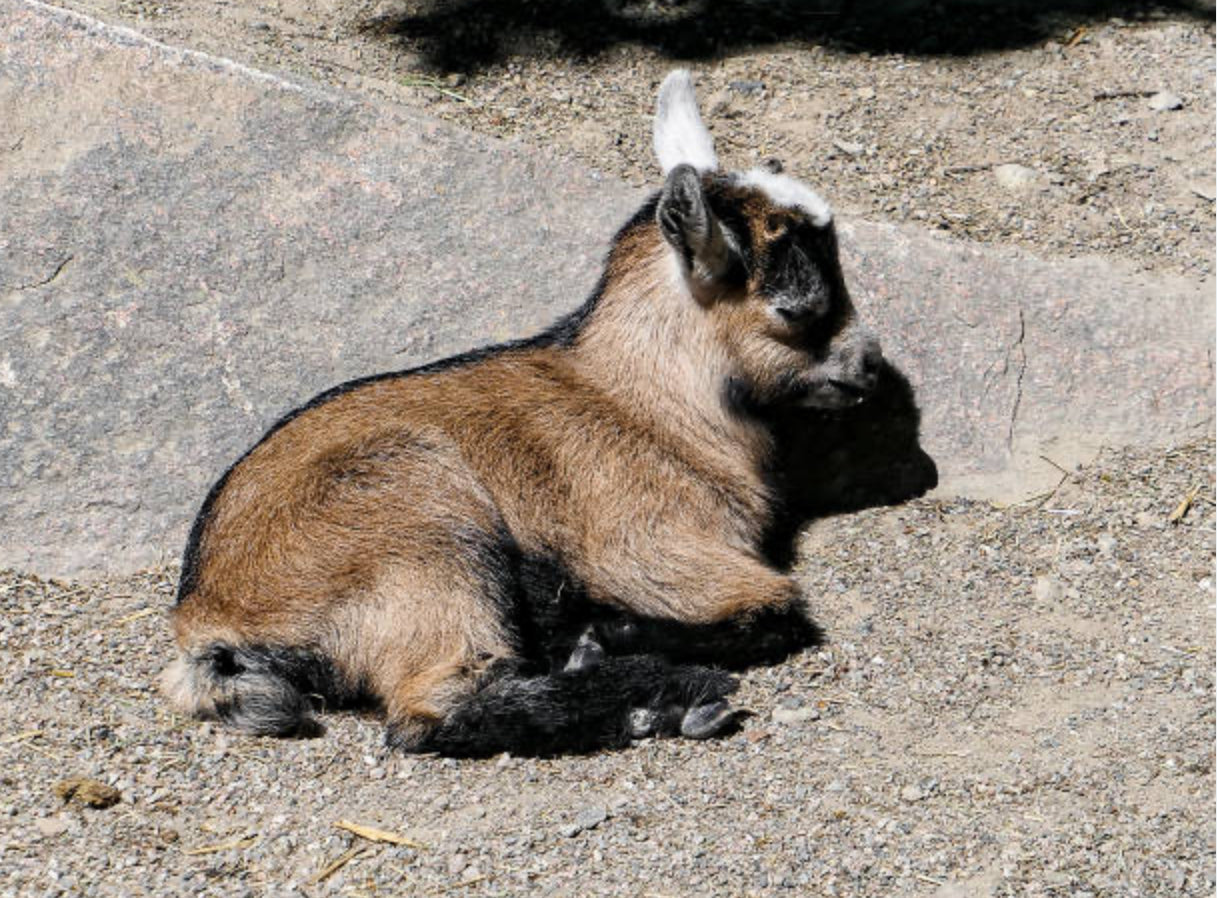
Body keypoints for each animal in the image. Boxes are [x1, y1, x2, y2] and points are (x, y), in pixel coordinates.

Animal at [164, 70, 910, 757]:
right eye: (798, 308)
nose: (869, 364)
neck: (648, 404)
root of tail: (209, 617)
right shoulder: (651, 546)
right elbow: (777, 606)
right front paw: (599, 636)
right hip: (423, 526)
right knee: (434, 710)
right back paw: (661, 695)